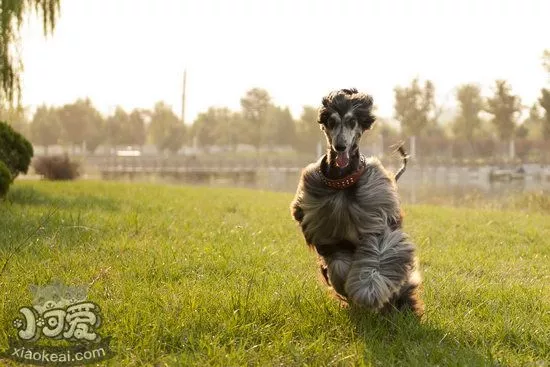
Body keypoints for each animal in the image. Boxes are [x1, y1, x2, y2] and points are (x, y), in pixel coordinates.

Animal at [292, 88, 424, 316]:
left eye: (352, 121)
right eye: (331, 121)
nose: (340, 146)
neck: (342, 182)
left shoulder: (376, 219)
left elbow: (378, 255)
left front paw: (368, 291)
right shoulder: (328, 234)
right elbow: (338, 265)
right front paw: (344, 287)